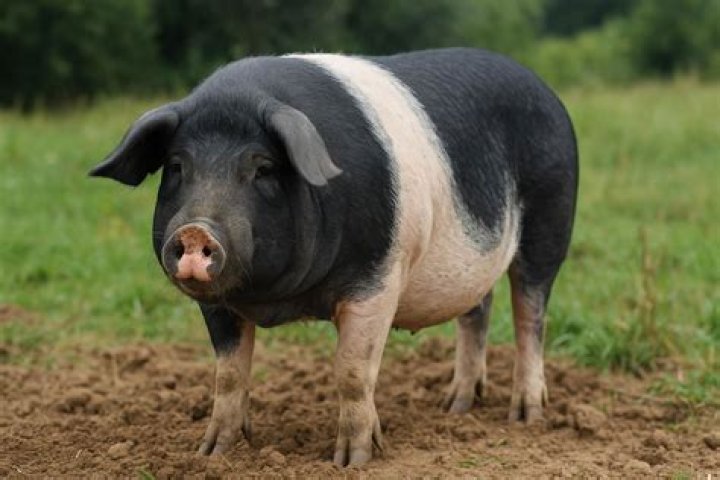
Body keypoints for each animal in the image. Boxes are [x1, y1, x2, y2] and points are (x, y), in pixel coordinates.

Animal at [90, 48, 578, 466]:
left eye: (263, 168)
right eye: (176, 166)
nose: (195, 231)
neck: (277, 299)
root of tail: (546, 90)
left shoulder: (375, 280)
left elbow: (352, 370)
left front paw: (353, 460)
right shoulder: (217, 304)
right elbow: (228, 374)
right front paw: (214, 453)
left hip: (551, 218)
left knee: (530, 313)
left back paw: (526, 415)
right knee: (477, 311)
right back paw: (454, 406)